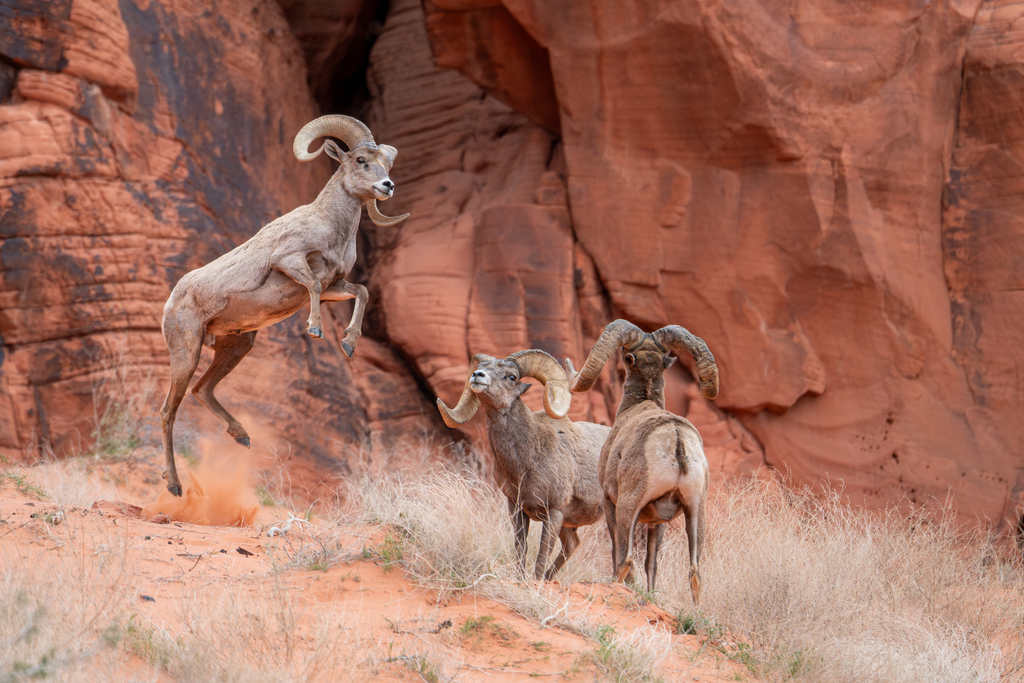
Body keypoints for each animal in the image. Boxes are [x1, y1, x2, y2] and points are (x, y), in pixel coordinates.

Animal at [158, 115, 409, 497]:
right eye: (360, 160)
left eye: (388, 165)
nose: (387, 186)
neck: (331, 225)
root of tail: (170, 303)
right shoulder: (290, 262)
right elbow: (312, 285)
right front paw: (315, 329)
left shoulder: (337, 286)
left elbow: (361, 292)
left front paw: (348, 343)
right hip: (187, 352)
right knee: (168, 412)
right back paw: (174, 485)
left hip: (237, 347)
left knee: (203, 391)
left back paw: (242, 437)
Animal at [436, 349, 611, 580]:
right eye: (481, 367)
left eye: (512, 377)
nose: (477, 376)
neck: (526, 462)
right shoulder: (516, 507)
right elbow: (521, 548)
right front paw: (522, 579)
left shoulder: (554, 512)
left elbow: (542, 553)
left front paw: (535, 582)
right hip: (570, 525)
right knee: (572, 545)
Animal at [564, 319, 719, 603]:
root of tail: (676, 438)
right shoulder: (659, 522)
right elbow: (652, 563)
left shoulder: (610, 502)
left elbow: (617, 551)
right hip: (695, 511)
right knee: (695, 573)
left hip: (629, 505)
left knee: (625, 560)